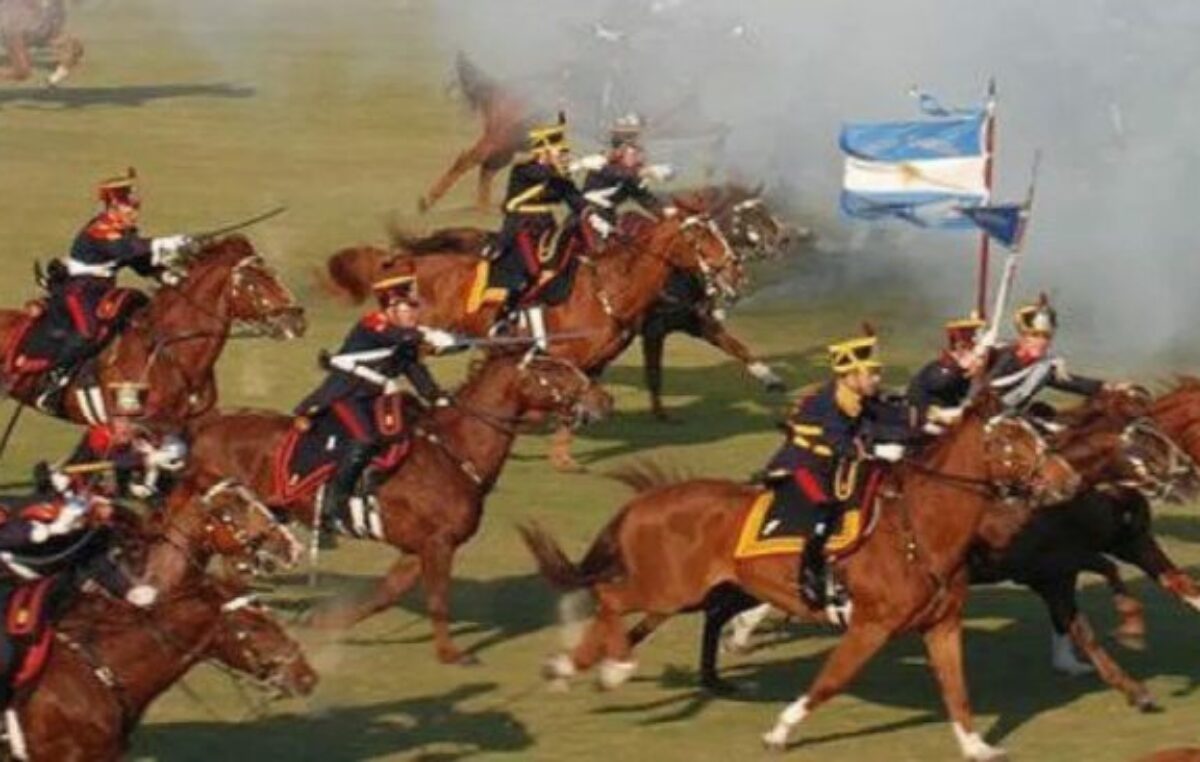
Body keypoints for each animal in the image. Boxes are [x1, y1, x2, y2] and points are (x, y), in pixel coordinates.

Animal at [182, 352, 614, 662]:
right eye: (553, 369)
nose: (604, 398)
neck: (454, 450)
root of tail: (204, 426)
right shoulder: (439, 545)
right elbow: (438, 600)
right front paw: (450, 654)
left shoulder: (416, 548)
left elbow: (385, 595)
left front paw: (324, 622)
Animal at [523, 403, 1080, 758]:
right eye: (1011, 441)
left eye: (1039, 435)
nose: (1069, 480)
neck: (916, 529)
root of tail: (648, 500)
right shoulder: (869, 627)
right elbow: (830, 682)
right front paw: (780, 731)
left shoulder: (941, 626)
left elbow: (956, 689)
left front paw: (975, 745)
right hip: (669, 588)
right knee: (610, 597)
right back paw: (611, 666)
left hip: (686, 592)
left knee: (623, 608)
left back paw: (574, 667)